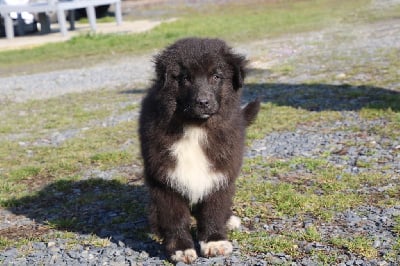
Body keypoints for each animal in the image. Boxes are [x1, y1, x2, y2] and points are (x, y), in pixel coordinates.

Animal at [139, 37, 260, 264]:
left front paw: (214, 241)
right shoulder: (165, 179)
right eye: (185, 78)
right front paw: (181, 248)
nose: (203, 102)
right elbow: (175, 216)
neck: (196, 128)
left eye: (216, 76)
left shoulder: (219, 174)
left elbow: (213, 210)